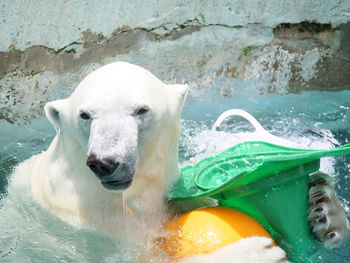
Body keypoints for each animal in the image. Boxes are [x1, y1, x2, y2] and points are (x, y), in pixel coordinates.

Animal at [11, 62, 348, 263]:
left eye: (141, 110)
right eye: (85, 114)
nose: (104, 161)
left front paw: (323, 208)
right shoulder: (91, 234)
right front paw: (254, 251)